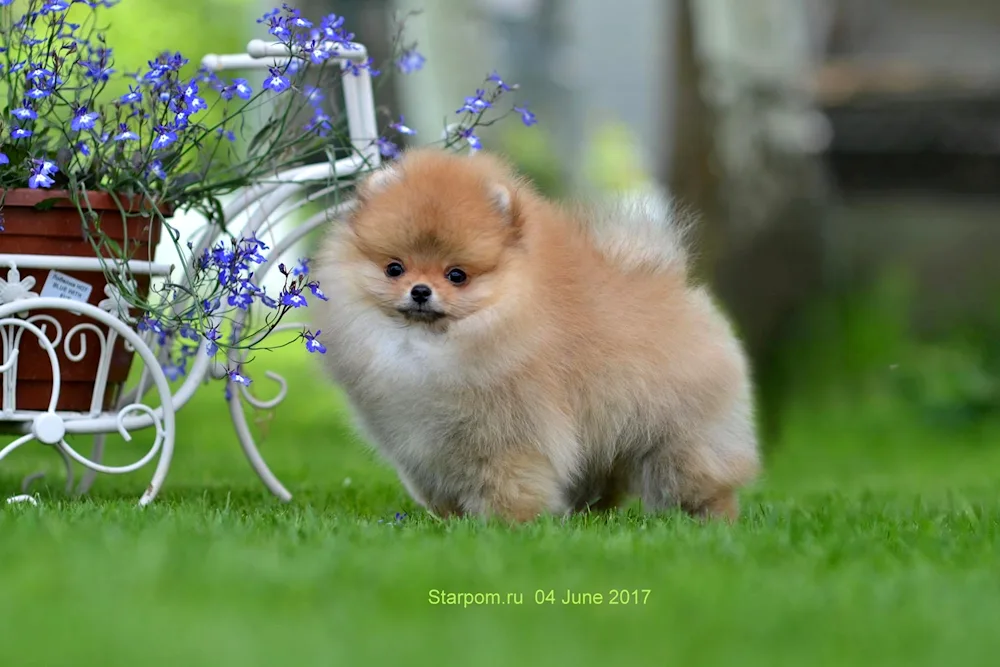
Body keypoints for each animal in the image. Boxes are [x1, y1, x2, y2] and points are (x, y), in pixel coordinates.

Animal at [312, 147, 756, 520]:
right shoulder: (418, 444)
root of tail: (677, 287)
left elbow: (509, 482)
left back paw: (712, 518)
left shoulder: (510, 436)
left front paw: (506, 524)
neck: (428, 348)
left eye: (457, 275)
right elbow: (438, 486)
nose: (420, 291)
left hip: (679, 435)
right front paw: (451, 522)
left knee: (697, 476)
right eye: (395, 268)